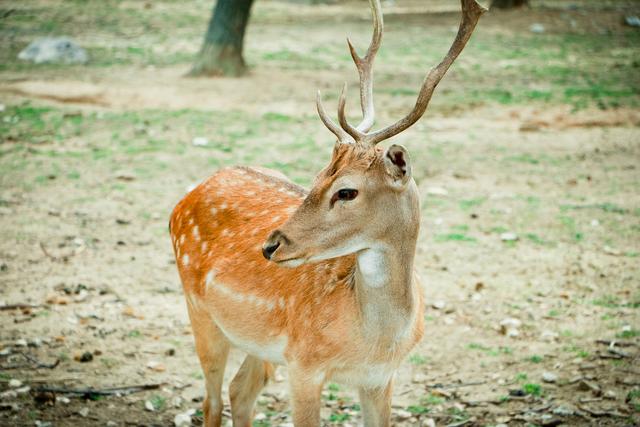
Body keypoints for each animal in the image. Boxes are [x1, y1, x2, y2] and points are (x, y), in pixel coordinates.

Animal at [170, 1, 484, 426]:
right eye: (317, 176)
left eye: (346, 191)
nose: (270, 245)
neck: (375, 342)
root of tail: (188, 195)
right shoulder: (303, 363)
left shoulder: (381, 378)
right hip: (198, 310)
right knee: (212, 400)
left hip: (256, 340)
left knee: (240, 390)